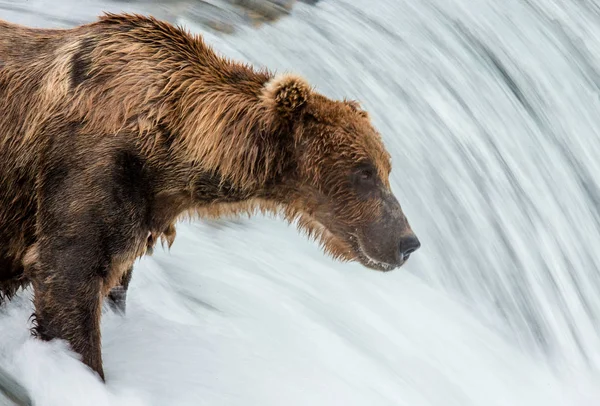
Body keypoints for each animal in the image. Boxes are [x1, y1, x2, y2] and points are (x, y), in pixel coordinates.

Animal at [0, 12, 420, 380]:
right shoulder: (92, 170)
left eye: (386, 168)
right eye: (363, 172)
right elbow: (68, 278)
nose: (408, 242)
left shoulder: (141, 212)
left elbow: (115, 282)